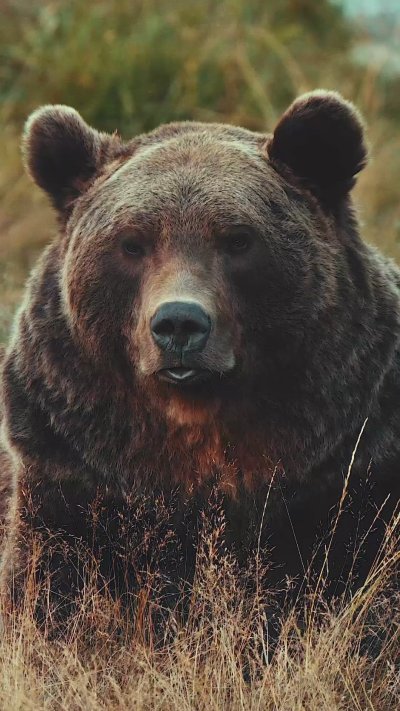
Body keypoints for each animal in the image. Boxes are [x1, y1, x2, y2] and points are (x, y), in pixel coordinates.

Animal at [0, 90, 399, 622]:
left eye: (238, 239)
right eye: (132, 243)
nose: (179, 324)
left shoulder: (350, 461)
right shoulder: (69, 459)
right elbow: (49, 583)